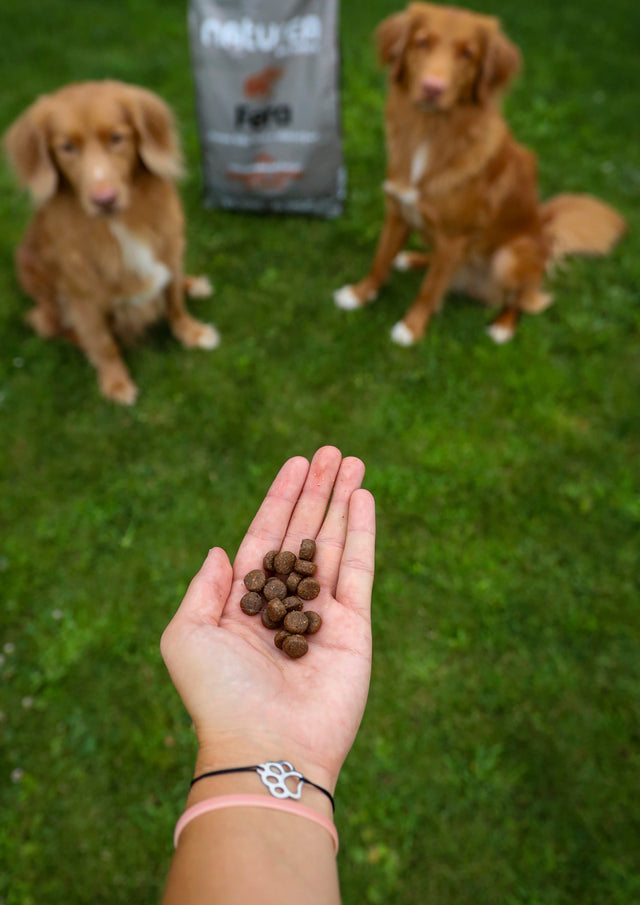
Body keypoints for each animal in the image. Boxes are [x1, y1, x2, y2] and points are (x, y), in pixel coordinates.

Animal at [3, 79, 220, 404]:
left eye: (117, 138)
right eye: (67, 147)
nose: (104, 200)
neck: (119, 224)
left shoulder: (170, 254)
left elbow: (175, 303)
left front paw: (192, 332)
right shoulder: (84, 298)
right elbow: (104, 343)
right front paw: (116, 383)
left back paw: (194, 284)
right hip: (46, 302)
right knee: (54, 326)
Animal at [336, 4, 624, 342]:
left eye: (467, 54)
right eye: (422, 42)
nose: (433, 89)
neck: (430, 132)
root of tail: (544, 228)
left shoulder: (455, 237)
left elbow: (429, 290)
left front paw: (411, 328)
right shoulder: (398, 211)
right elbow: (380, 260)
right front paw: (359, 294)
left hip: (509, 258)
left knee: (524, 299)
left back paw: (502, 326)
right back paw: (412, 258)